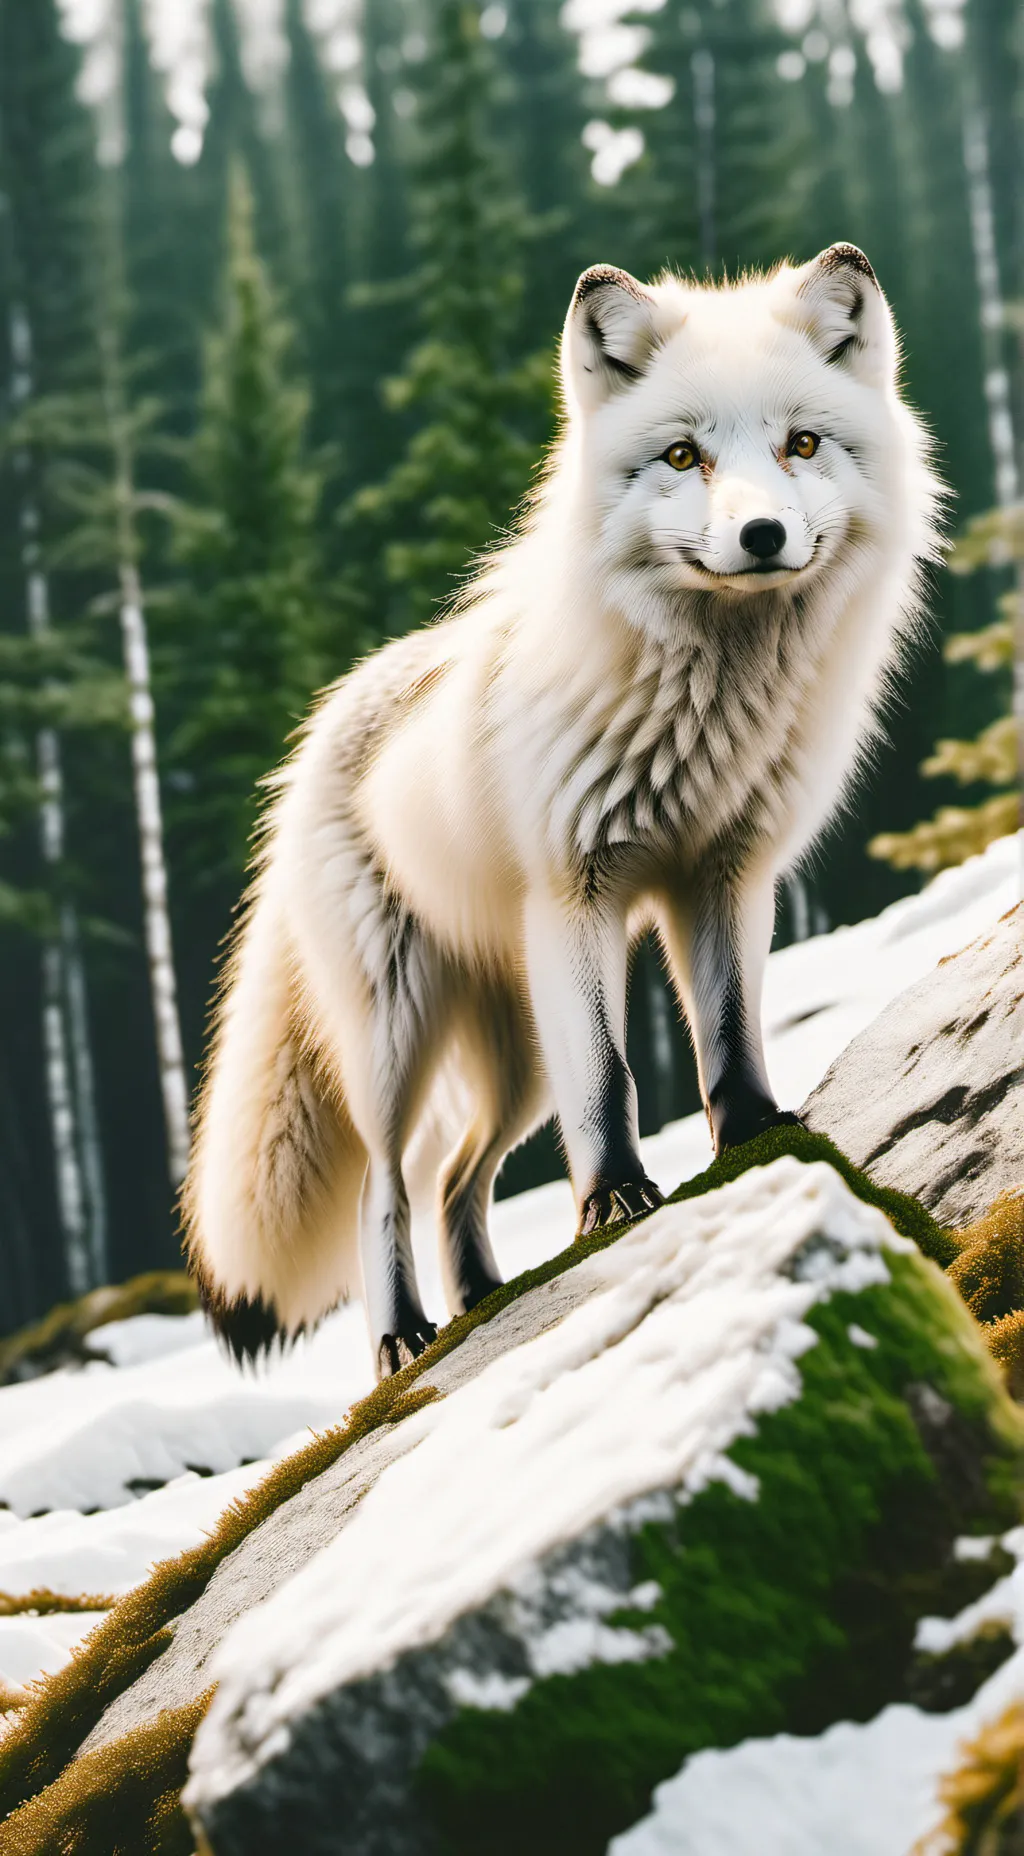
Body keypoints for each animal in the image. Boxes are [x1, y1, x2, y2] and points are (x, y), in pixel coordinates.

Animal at [185, 243, 941, 1379]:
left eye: (802, 443)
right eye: (683, 455)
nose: (761, 534)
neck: (709, 713)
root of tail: (315, 734)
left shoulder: (726, 874)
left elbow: (728, 1036)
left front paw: (758, 1141)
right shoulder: (573, 895)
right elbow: (612, 1079)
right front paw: (617, 1202)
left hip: (513, 1053)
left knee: (456, 1179)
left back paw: (483, 1299)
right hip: (399, 1036)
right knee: (384, 1188)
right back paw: (403, 1334)